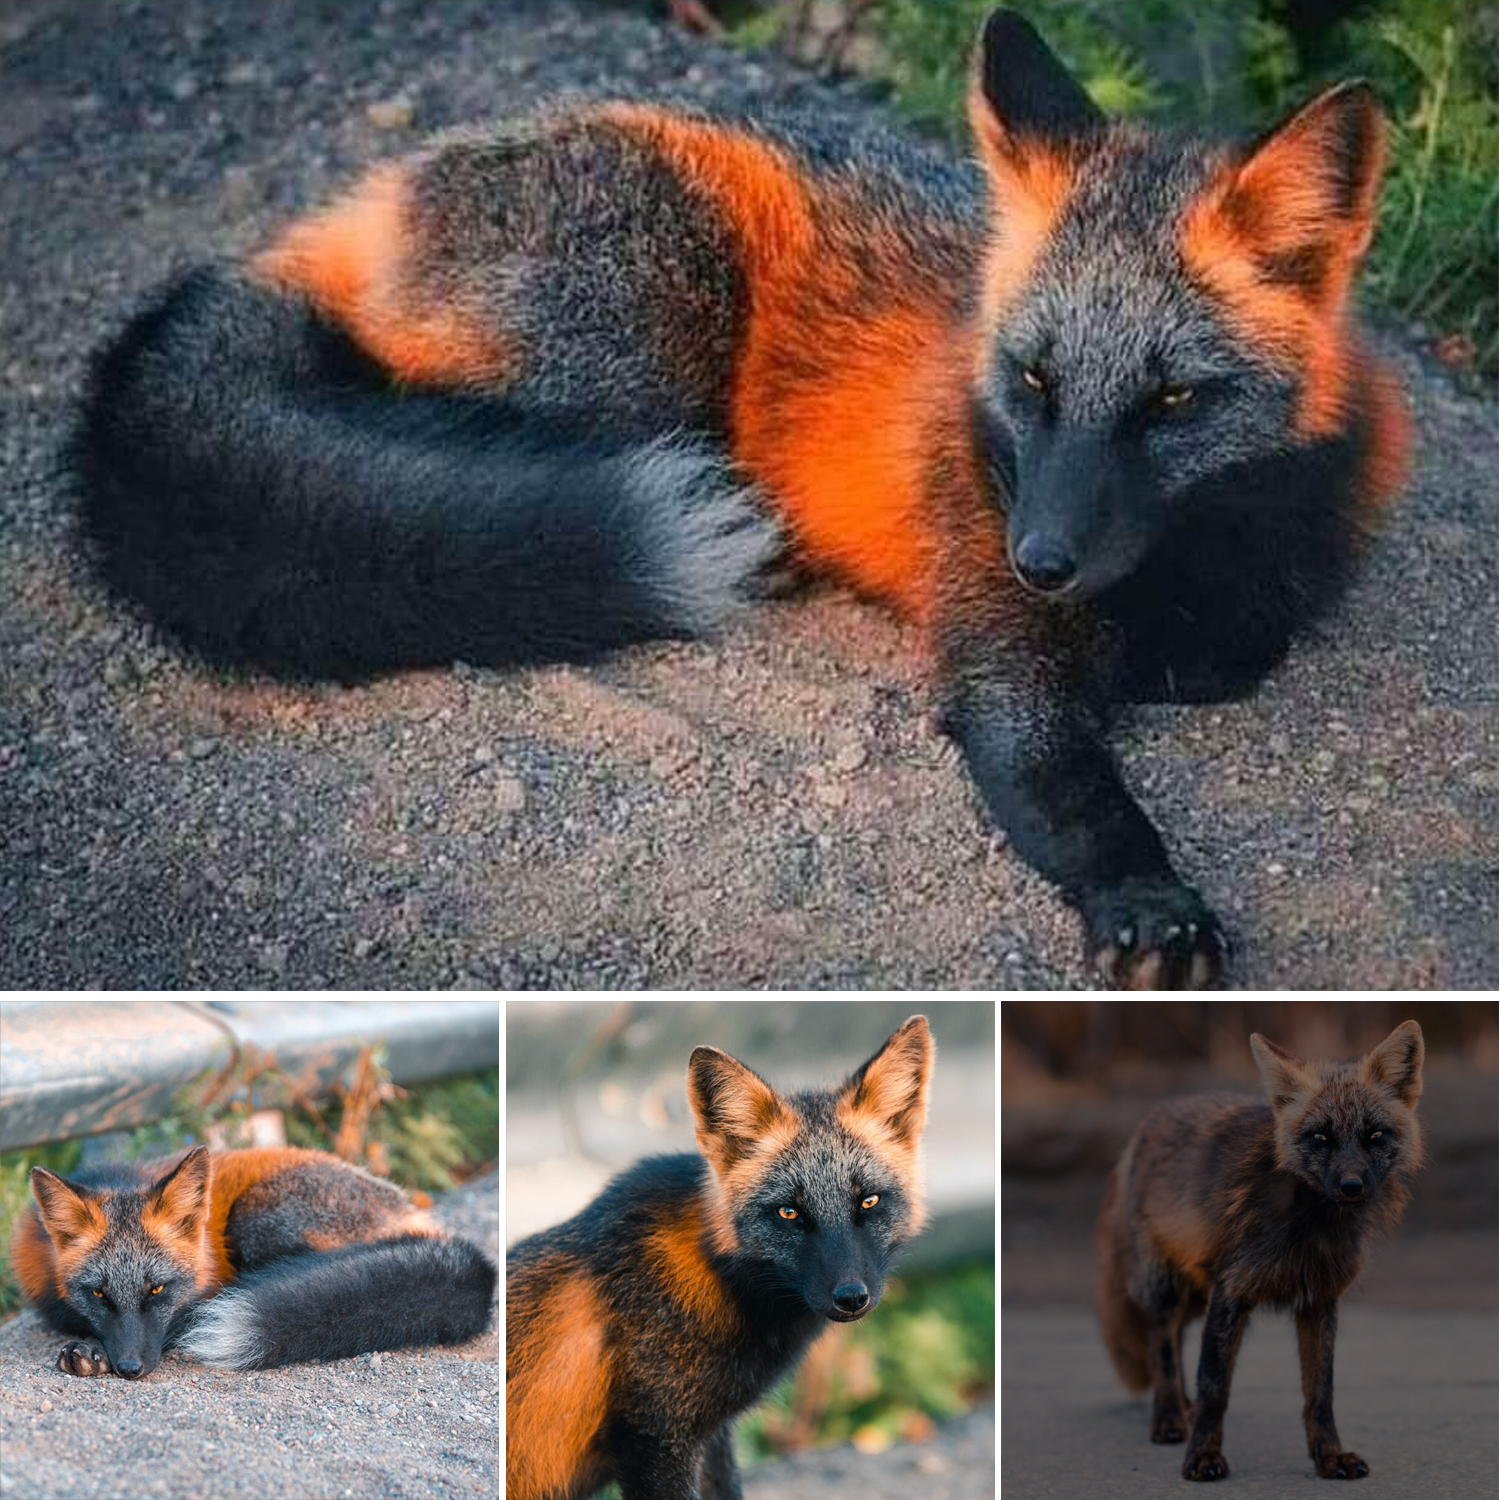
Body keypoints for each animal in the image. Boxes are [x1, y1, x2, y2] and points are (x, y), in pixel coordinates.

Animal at [73, 14, 1404, 996]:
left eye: (1172, 399)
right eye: (1032, 380)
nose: (1041, 558)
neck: (1189, 560)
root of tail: (382, 188)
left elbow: (1236, 652)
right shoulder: (994, 644)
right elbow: (1071, 788)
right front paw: (1146, 900)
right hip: (647, 345)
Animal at [1098, 1014, 1422, 1482]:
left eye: (1375, 1135)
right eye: (1321, 1138)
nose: (1351, 1186)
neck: (1309, 1227)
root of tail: (1150, 1119)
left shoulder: (1319, 1300)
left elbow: (1319, 1393)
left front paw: (1328, 1457)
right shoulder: (1231, 1291)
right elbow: (1215, 1386)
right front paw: (1202, 1457)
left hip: (1194, 1294)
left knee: (1176, 1341)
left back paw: (1181, 1408)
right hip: (1168, 1288)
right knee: (1162, 1348)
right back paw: (1170, 1418)